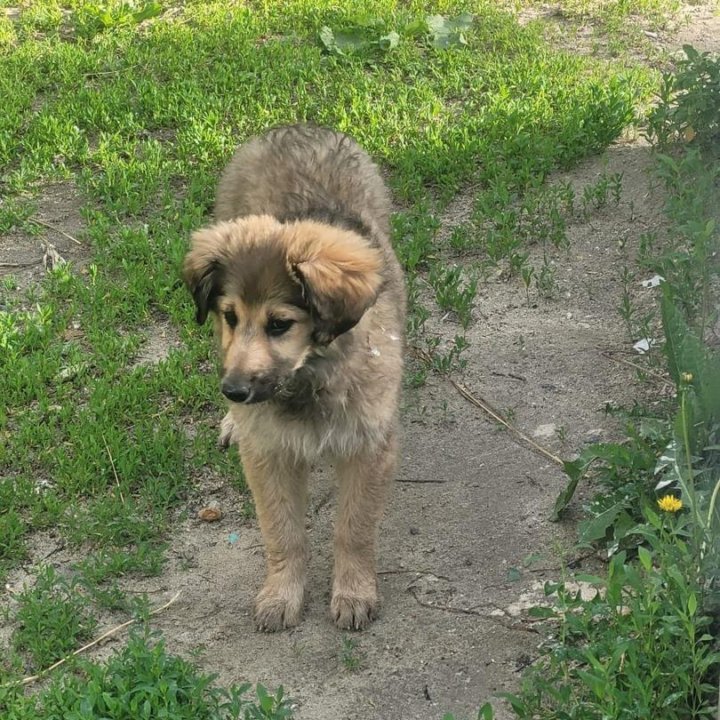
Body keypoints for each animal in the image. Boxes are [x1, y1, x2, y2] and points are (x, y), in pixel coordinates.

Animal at [184, 124, 404, 632]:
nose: (233, 391)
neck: (308, 378)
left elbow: (354, 529)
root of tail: (294, 127)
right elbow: (282, 531)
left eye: (280, 324)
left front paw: (353, 591)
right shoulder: (269, 453)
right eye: (231, 316)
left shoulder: (368, 448)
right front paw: (282, 594)